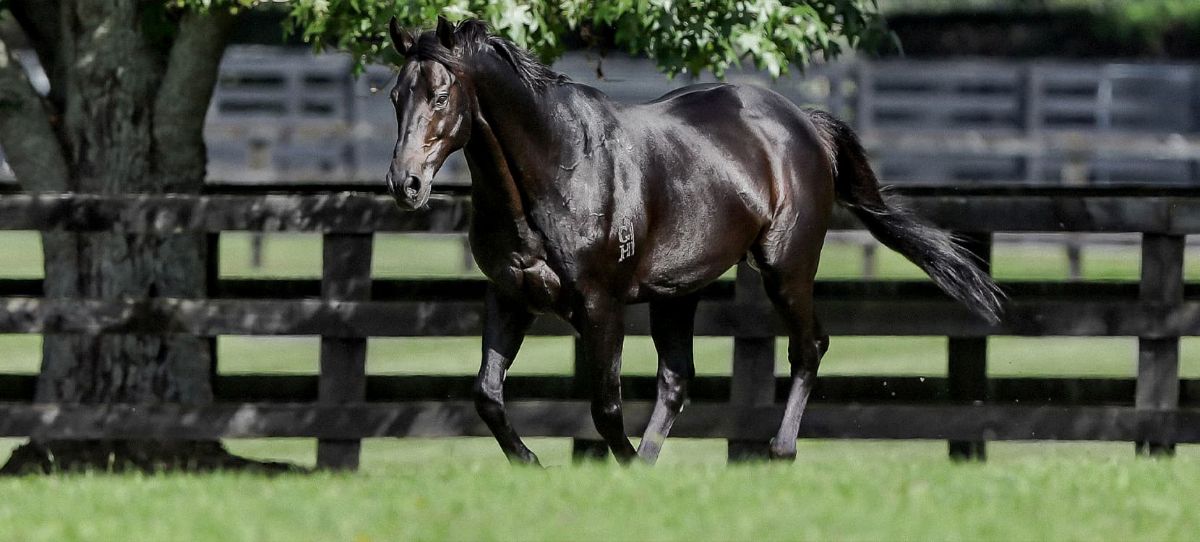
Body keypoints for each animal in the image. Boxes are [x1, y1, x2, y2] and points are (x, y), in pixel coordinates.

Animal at [384, 17, 1003, 465]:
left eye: (439, 95)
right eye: (396, 95)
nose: (405, 183)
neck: (558, 167)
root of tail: (802, 122)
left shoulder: (601, 304)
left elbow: (605, 407)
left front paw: (617, 469)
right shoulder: (511, 296)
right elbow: (487, 394)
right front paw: (532, 463)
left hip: (786, 268)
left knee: (808, 348)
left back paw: (778, 453)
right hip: (677, 292)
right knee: (678, 378)